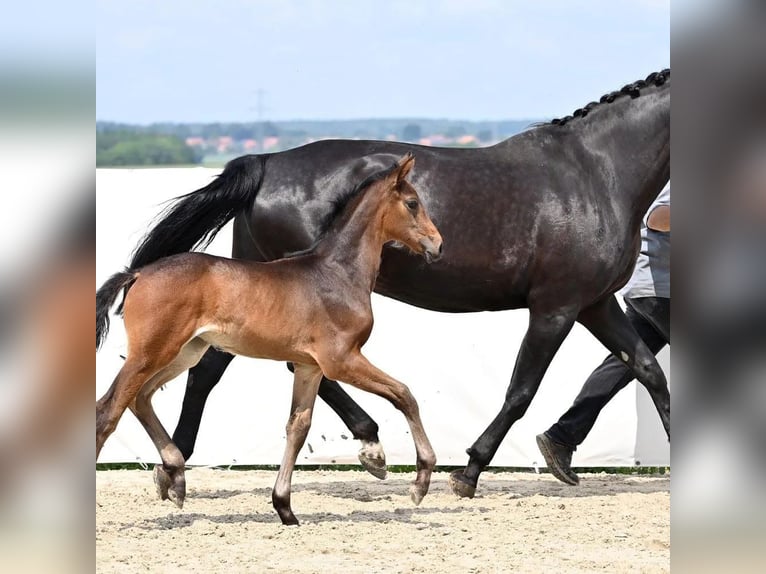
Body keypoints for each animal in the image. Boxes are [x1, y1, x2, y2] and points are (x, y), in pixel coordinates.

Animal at [96, 154, 444, 528]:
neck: (337, 273)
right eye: (413, 203)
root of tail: (138, 273)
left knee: (140, 399)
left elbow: (298, 427)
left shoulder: (309, 367)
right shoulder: (341, 360)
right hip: (151, 353)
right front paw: (420, 483)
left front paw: (285, 508)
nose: (438, 245)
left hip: (183, 353)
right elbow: (404, 395)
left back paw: (175, 476)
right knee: (108, 412)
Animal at [123, 68, 668, 500]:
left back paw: (177, 464)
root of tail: (265, 162)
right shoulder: (556, 306)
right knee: (273, 366)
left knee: (213, 368)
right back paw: (366, 444)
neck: (596, 173)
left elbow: (648, 371)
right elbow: (521, 391)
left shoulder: (595, 303)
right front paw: (468, 472)